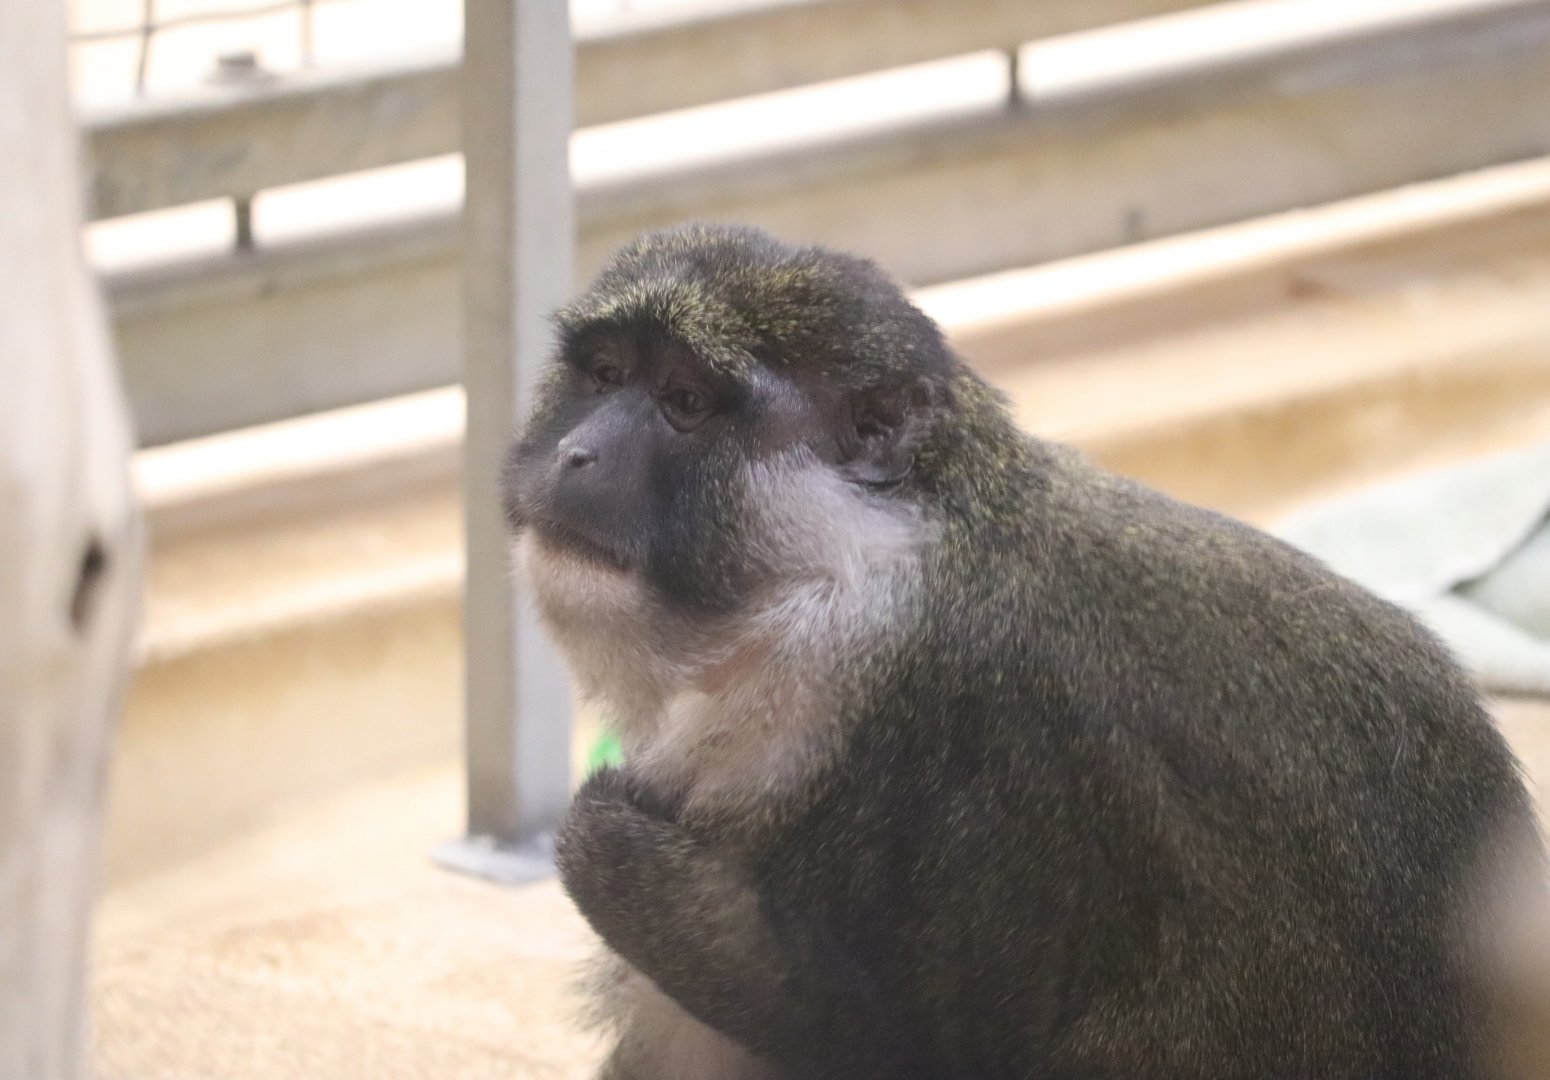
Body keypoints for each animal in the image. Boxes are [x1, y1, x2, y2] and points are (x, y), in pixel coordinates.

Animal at [501, 222, 1544, 1080]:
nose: (577, 455)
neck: (859, 562)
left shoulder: (945, 738)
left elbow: (895, 1042)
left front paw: (601, 839)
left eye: (683, 402)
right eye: (603, 376)